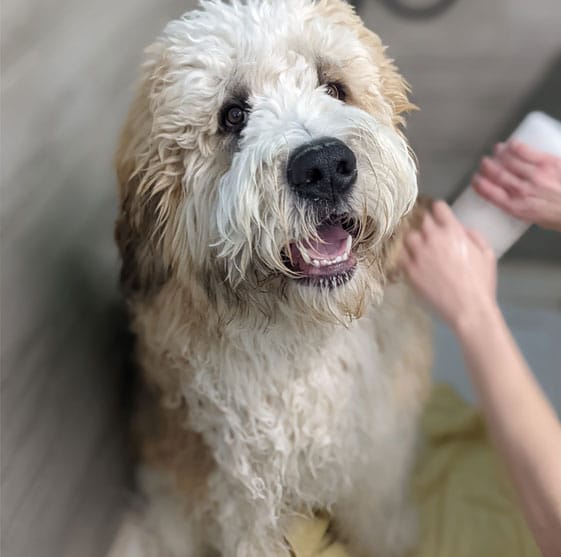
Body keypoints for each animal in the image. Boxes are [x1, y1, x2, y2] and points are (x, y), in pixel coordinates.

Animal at [112, 2, 428, 552]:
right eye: (233, 115)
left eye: (334, 87)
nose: (325, 166)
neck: (301, 340)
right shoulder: (238, 498)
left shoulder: (376, 453)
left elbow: (378, 519)